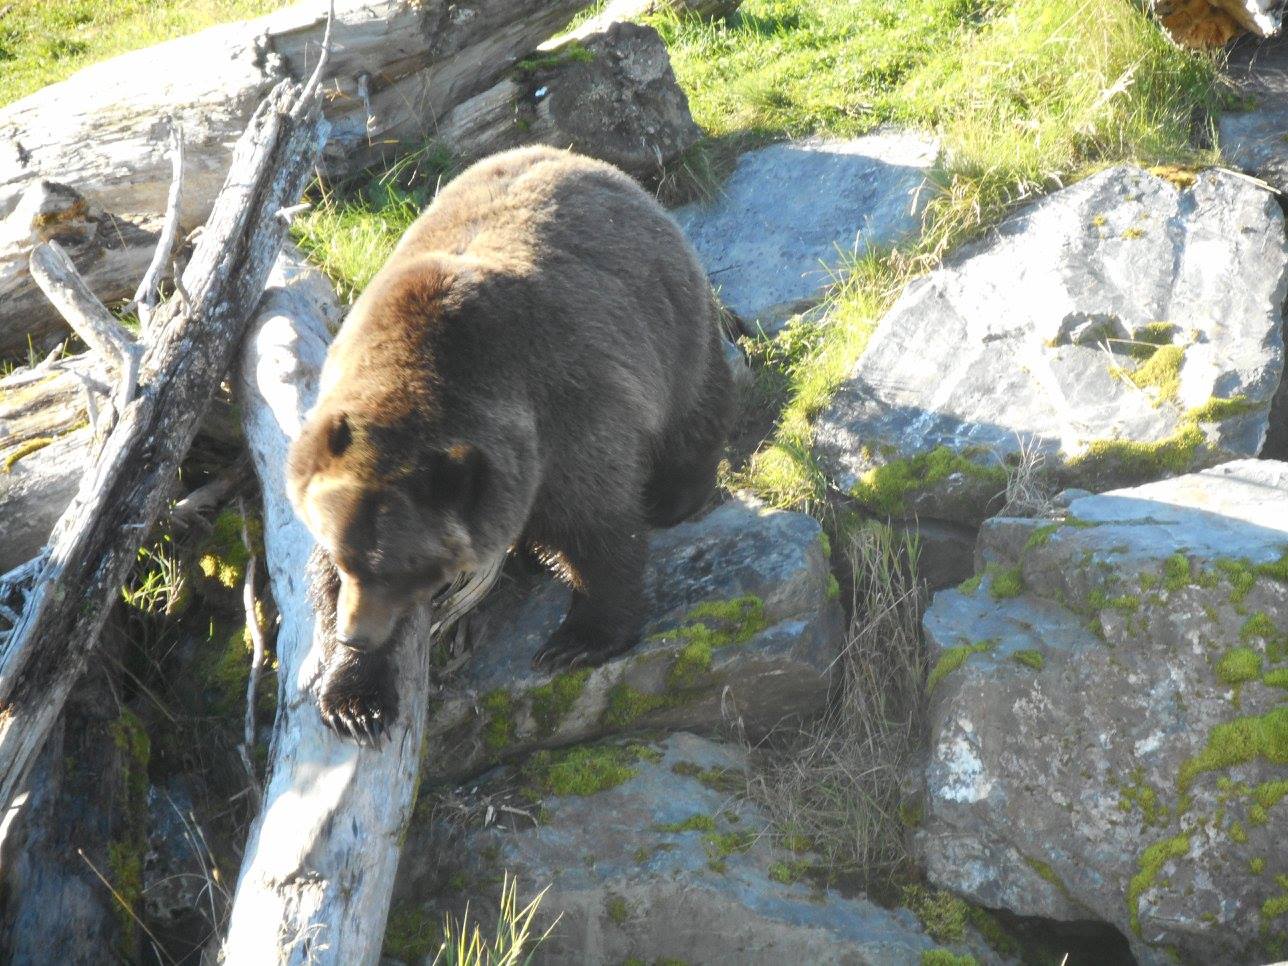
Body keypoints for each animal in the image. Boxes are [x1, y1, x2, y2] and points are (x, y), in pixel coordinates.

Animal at [287, 145, 733, 742]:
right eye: (346, 557)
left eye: (403, 565)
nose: (357, 633)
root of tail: (575, 158)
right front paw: (354, 700)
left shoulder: (565, 415)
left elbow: (598, 525)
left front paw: (579, 638)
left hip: (668, 320)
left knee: (694, 408)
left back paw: (673, 495)